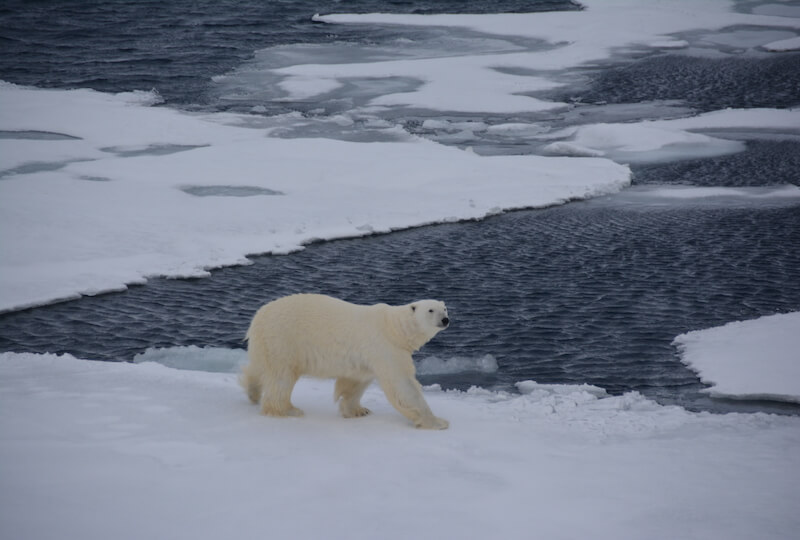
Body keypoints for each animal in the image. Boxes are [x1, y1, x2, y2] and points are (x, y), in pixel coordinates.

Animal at [241, 293, 450, 429]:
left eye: (445, 308)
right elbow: (403, 385)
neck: (394, 329)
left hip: (267, 343)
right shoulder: (386, 348)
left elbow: (355, 382)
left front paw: (358, 411)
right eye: (431, 310)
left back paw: (253, 392)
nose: (445, 320)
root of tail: (258, 316)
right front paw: (437, 422)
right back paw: (287, 410)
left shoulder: (365, 357)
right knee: (281, 377)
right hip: (284, 339)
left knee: (259, 367)